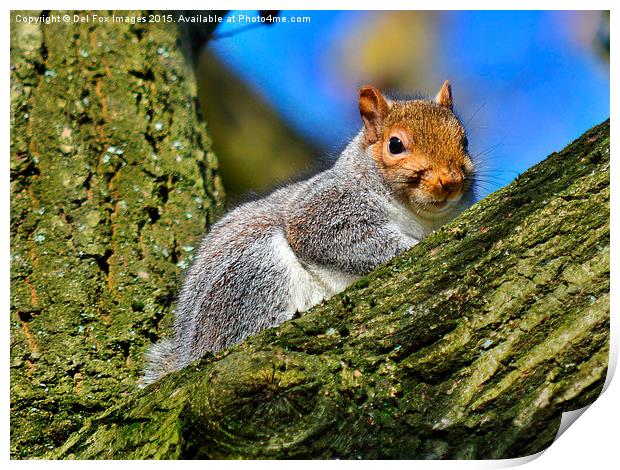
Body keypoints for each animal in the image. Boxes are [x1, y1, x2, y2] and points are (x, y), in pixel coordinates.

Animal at [144, 81, 474, 384]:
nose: (450, 181)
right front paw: (410, 245)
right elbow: (344, 240)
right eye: (395, 145)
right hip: (252, 275)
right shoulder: (323, 210)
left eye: (465, 140)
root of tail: (191, 348)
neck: (419, 216)